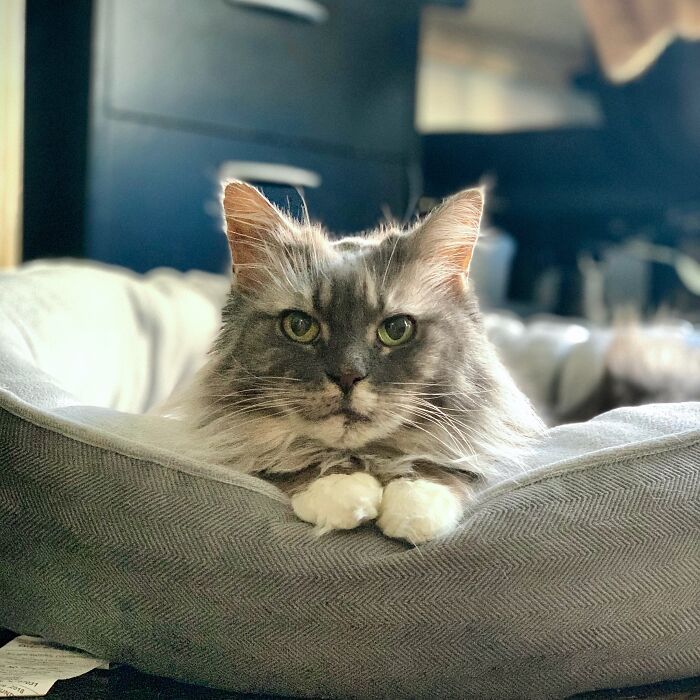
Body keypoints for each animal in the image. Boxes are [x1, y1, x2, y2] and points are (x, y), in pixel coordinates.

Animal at [178, 180, 544, 540]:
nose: (347, 376)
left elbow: (436, 465)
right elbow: (288, 459)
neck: (364, 457)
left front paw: (415, 507)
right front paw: (343, 491)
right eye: (299, 326)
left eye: (396, 329)